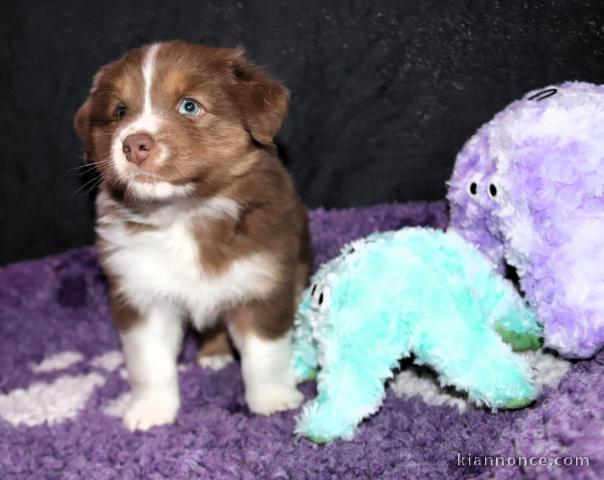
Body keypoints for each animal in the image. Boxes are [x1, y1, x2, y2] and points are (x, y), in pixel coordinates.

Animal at [74, 41, 312, 432]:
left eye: (189, 106)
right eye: (120, 112)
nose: (134, 145)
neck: (184, 213)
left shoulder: (264, 281)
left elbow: (265, 354)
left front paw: (273, 400)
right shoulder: (141, 293)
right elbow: (149, 362)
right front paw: (152, 410)